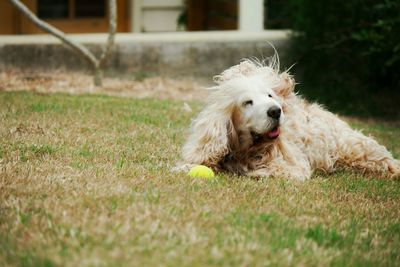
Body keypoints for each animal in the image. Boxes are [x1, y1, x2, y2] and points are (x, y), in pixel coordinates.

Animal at [180, 57, 400, 181]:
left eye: (270, 95)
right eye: (247, 102)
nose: (276, 111)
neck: (247, 150)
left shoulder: (292, 166)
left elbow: (268, 170)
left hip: (359, 150)